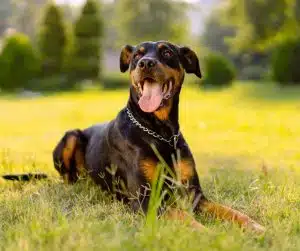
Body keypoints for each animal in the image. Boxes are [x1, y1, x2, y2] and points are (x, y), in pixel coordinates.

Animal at [49, 40, 264, 232]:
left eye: (167, 52)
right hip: (71, 136)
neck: (161, 133)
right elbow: (182, 215)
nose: (146, 63)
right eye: (137, 55)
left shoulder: (193, 193)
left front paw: (254, 226)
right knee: (68, 179)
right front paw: (207, 234)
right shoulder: (145, 200)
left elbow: (228, 210)